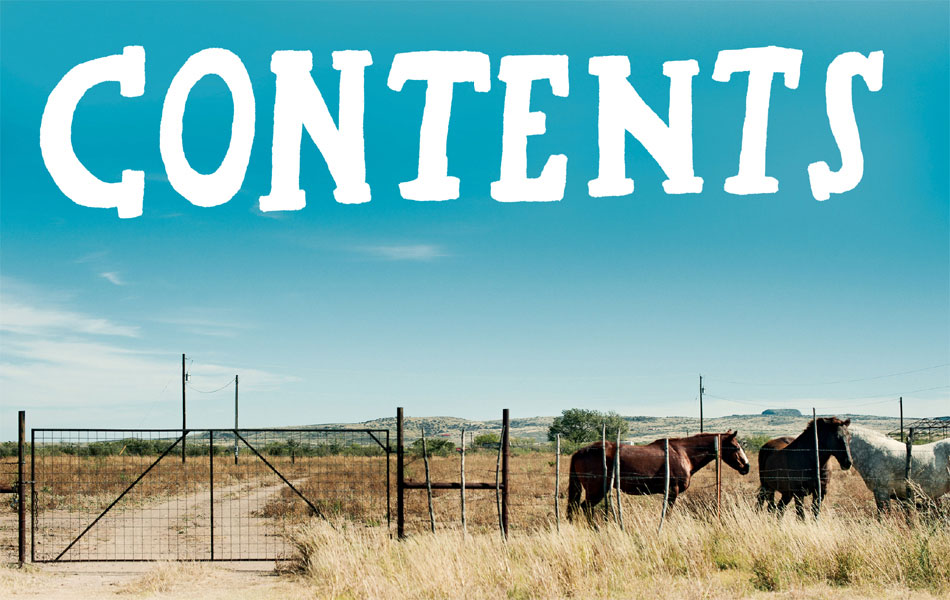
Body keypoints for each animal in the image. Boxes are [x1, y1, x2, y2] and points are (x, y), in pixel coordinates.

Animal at [564, 428, 752, 524]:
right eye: (736, 447)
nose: (747, 466)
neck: (683, 453)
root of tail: (579, 452)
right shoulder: (672, 491)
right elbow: (667, 514)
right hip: (596, 491)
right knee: (585, 508)